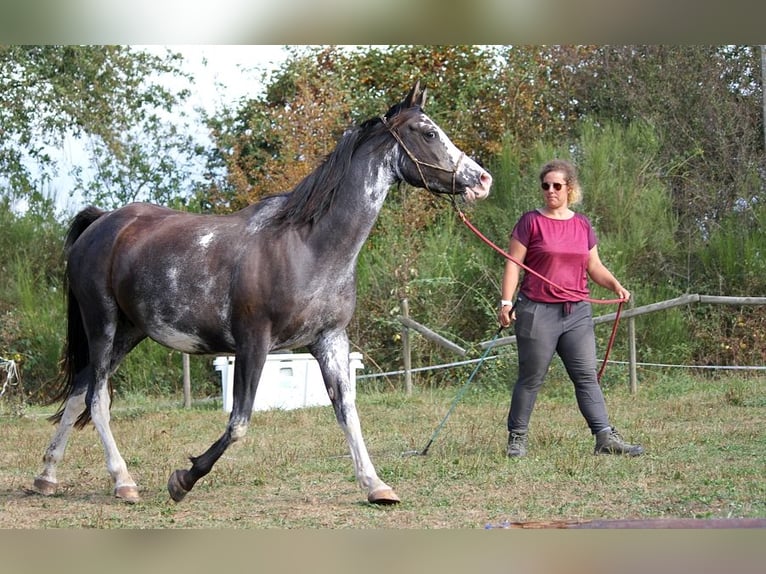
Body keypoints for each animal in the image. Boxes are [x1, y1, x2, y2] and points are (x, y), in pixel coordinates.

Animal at [31, 80, 492, 504]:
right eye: (428, 132)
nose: (481, 180)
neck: (308, 247)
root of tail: (101, 223)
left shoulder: (330, 340)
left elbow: (348, 413)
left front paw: (376, 486)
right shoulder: (254, 343)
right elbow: (239, 422)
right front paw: (183, 480)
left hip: (129, 332)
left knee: (79, 394)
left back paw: (46, 477)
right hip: (104, 325)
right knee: (96, 400)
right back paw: (123, 482)